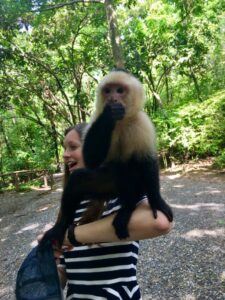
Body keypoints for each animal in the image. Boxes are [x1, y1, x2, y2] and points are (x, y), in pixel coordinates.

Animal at [39, 68, 173, 248]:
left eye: (120, 90)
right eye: (108, 91)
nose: (112, 99)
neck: (121, 121)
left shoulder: (143, 122)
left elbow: (148, 160)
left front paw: (157, 202)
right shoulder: (96, 117)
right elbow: (90, 158)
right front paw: (109, 113)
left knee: (133, 170)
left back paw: (128, 206)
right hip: (107, 185)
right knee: (78, 180)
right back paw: (59, 229)